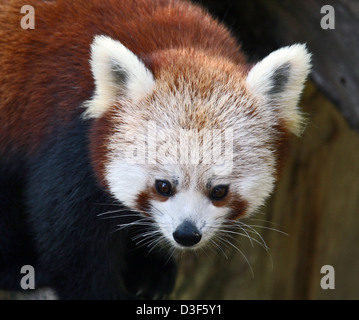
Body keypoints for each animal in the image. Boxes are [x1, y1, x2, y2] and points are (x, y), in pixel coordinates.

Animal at [0, 0, 310, 300]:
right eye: (163, 186)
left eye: (219, 191)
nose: (187, 234)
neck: (180, 40)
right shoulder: (68, 141)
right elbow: (73, 246)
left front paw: (150, 268)